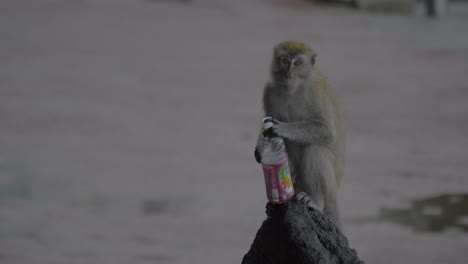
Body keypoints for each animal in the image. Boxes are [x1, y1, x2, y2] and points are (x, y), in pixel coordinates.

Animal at [254, 40, 346, 225]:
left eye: (297, 63)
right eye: (284, 60)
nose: (288, 73)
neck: (294, 90)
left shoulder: (316, 92)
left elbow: (327, 132)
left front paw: (282, 128)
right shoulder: (269, 91)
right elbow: (267, 123)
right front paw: (261, 144)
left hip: (331, 187)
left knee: (316, 149)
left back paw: (316, 201)